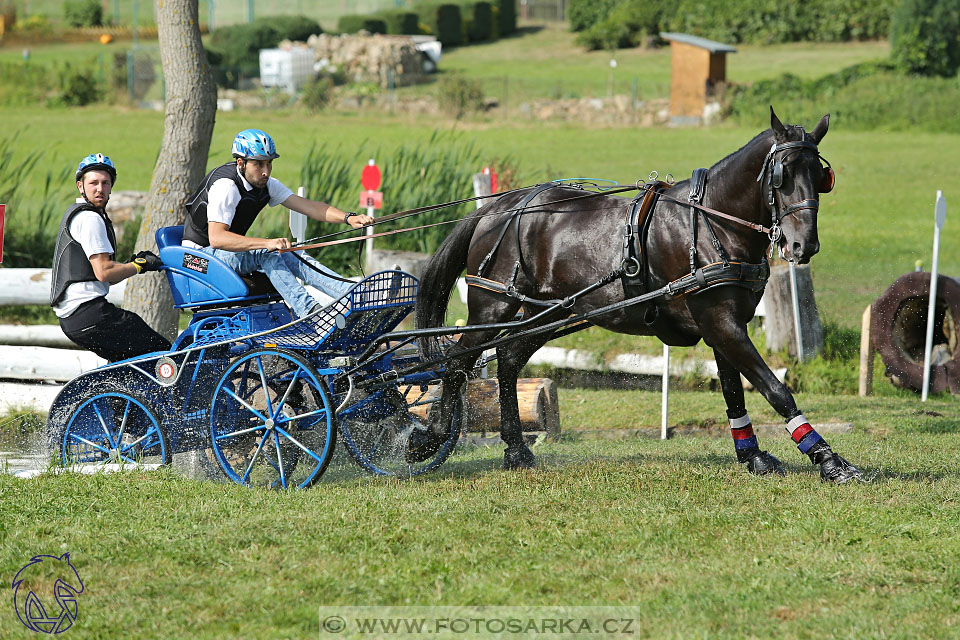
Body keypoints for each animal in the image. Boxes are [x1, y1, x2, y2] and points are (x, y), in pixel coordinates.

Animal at [412, 109, 864, 484]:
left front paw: (751, 456)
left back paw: (516, 448)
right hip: (494, 306)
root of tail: (498, 206)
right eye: (781, 176)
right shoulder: (722, 323)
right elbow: (775, 389)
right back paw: (429, 437)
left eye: (820, 176)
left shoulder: (723, 325)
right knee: (458, 361)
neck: (712, 222)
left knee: (507, 360)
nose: (803, 244)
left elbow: (734, 393)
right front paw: (830, 461)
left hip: (547, 312)